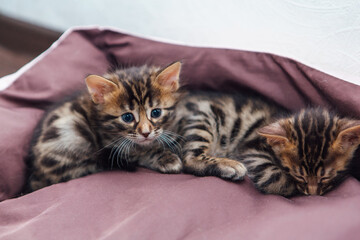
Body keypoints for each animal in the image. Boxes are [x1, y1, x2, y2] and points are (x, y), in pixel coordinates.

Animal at [23, 61, 184, 191]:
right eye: (127, 117)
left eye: (156, 112)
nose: (145, 133)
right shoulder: (113, 146)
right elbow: (142, 151)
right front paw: (166, 158)